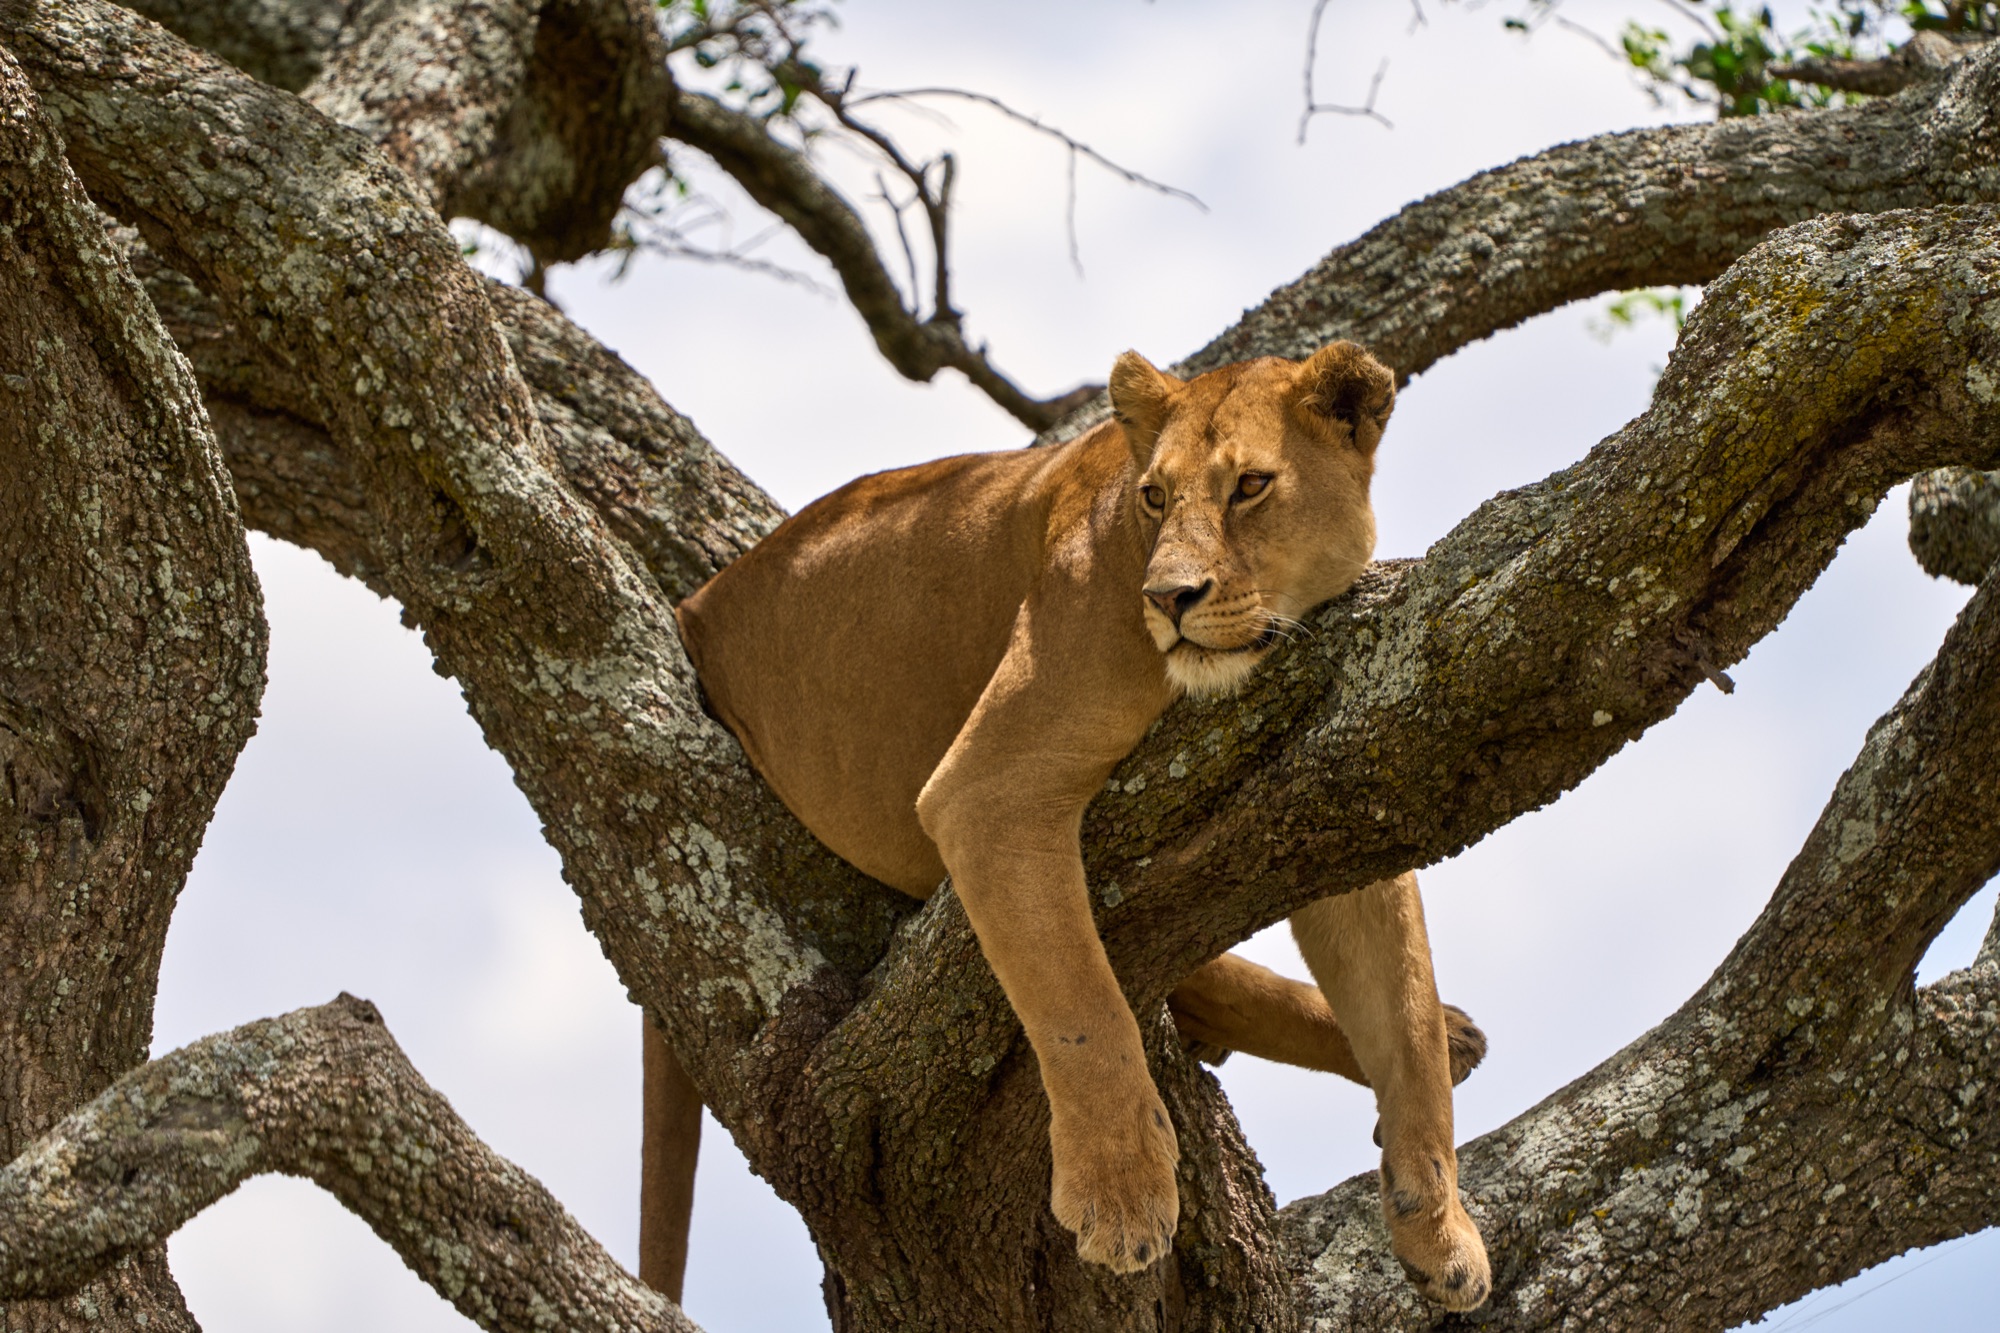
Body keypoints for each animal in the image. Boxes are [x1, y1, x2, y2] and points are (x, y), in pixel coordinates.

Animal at [651, 340, 1491, 1311]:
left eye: (1250, 485)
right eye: (1155, 496)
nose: (1169, 597)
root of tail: (695, 607)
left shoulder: (1350, 776)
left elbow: (1403, 1010)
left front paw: (1440, 1226)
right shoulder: (985, 790)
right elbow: (1079, 999)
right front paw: (1121, 1195)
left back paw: (1456, 1034)